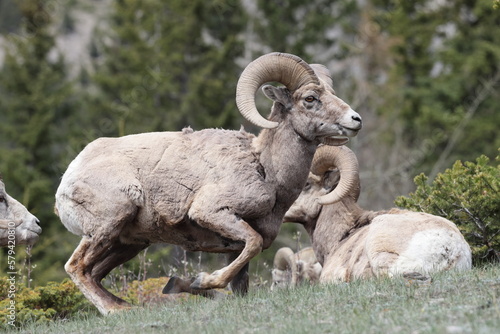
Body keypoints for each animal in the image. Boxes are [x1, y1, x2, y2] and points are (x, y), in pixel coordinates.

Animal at [55, 52, 364, 316]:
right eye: (310, 98)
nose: (356, 119)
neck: (266, 170)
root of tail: (68, 178)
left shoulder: (234, 250)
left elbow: (241, 283)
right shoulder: (212, 213)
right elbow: (251, 243)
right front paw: (200, 281)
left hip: (128, 243)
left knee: (95, 273)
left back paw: (126, 307)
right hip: (108, 226)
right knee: (77, 267)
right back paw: (115, 310)